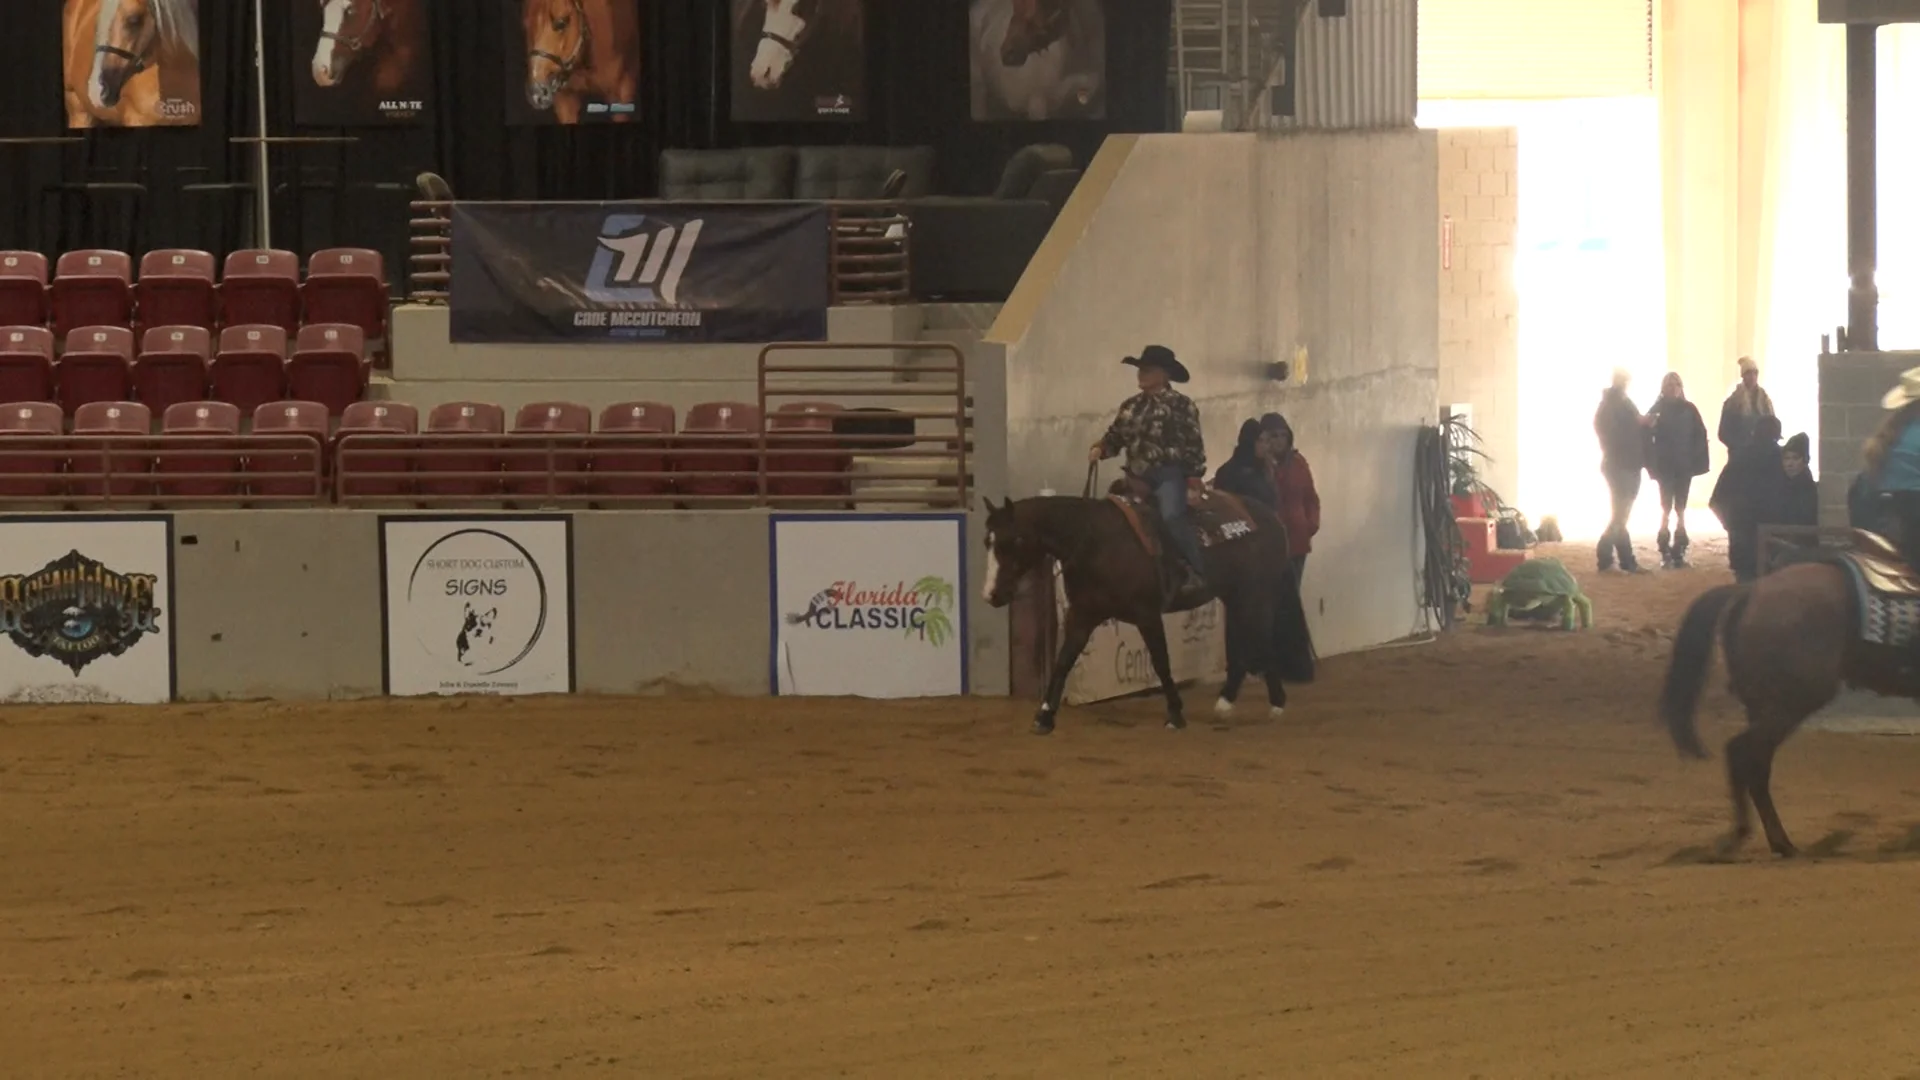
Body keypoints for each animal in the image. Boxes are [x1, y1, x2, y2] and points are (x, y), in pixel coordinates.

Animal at [983, 486, 1313, 730]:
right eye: (988, 541)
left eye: (1015, 540)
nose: (991, 595)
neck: (1097, 542)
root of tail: (1272, 517)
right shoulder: (1083, 615)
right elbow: (1064, 661)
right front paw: (1044, 716)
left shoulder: (1147, 614)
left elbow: (1161, 661)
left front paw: (1176, 714)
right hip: (1237, 596)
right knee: (1250, 642)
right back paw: (1230, 701)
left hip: (1256, 594)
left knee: (1260, 641)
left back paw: (1274, 703)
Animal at [1658, 530, 1912, 857]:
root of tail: (1751, 591)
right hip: (1791, 703)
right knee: (1744, 754)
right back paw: (1765, 839)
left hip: (1764, 705)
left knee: (1754, 764)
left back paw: (1764, 837)